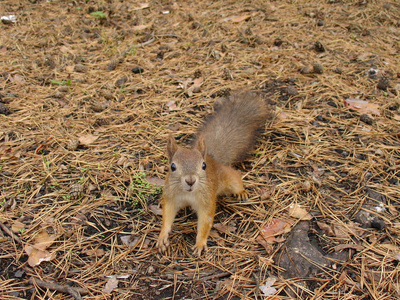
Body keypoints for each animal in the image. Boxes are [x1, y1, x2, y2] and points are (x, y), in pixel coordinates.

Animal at [156, 92, 268, 255]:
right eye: (173, 166)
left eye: (203, 166)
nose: (190, 181)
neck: (188, 194)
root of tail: (212, 159)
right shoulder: (171, 198)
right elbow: (168, 215)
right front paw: (162, 236)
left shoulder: (206, 201)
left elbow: (205, 222)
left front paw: (200, 243)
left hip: (229, 179)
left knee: (236, 179)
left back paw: (241, 192)